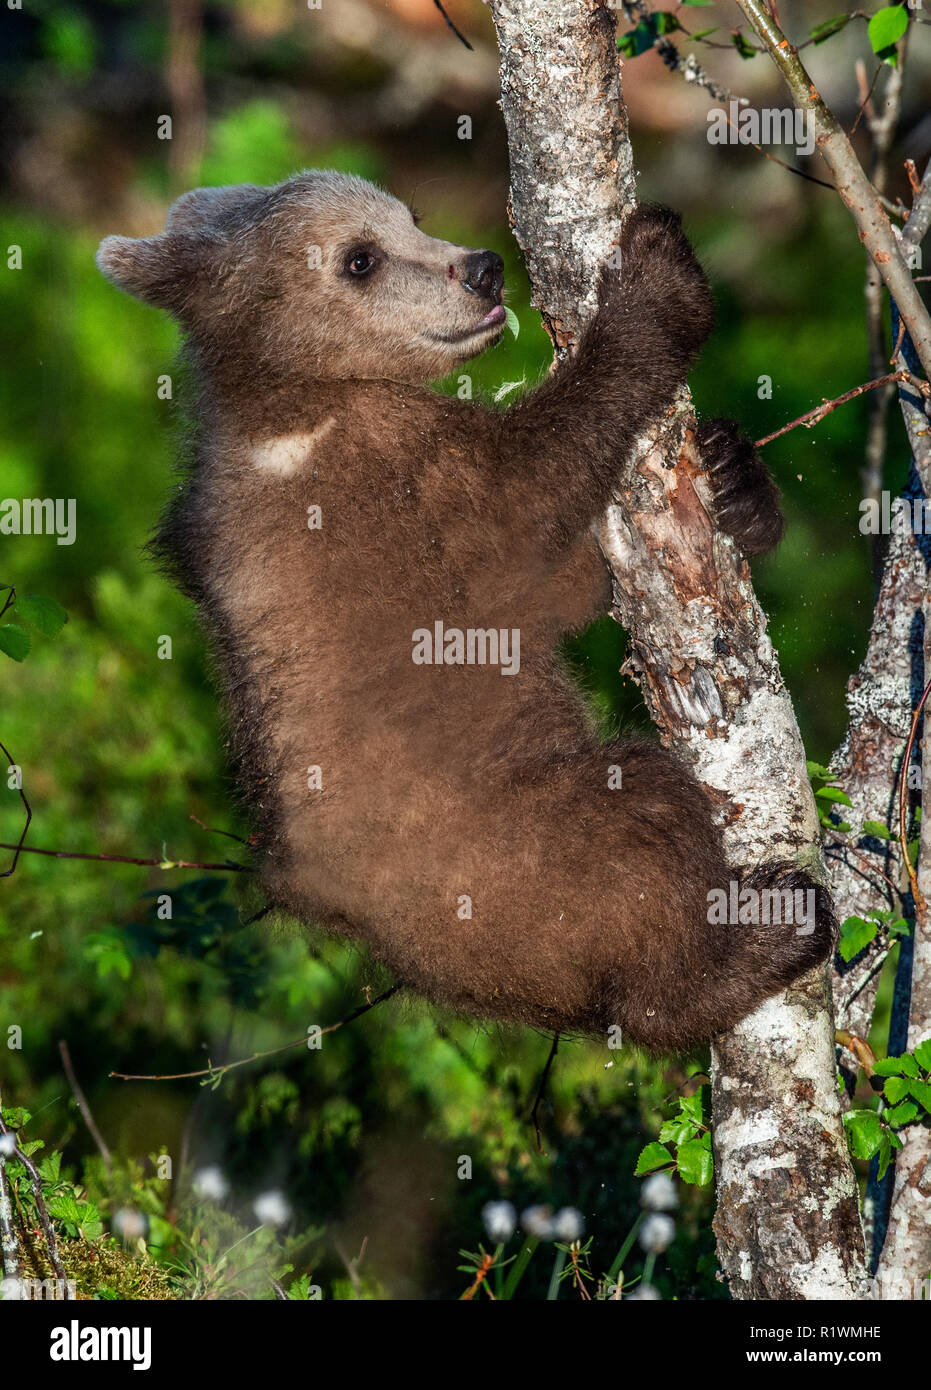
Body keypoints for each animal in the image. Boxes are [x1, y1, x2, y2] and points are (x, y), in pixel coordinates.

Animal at [96, 171, 832, 1052]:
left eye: (407, 214)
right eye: (359, 258)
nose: (481, 267)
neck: (299, 401)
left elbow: (566, 580)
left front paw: (735, 477)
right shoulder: (400, 481)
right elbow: (533, 502)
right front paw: (656, 279)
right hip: (517, 858)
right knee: (642, 825)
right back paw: (760, 938)